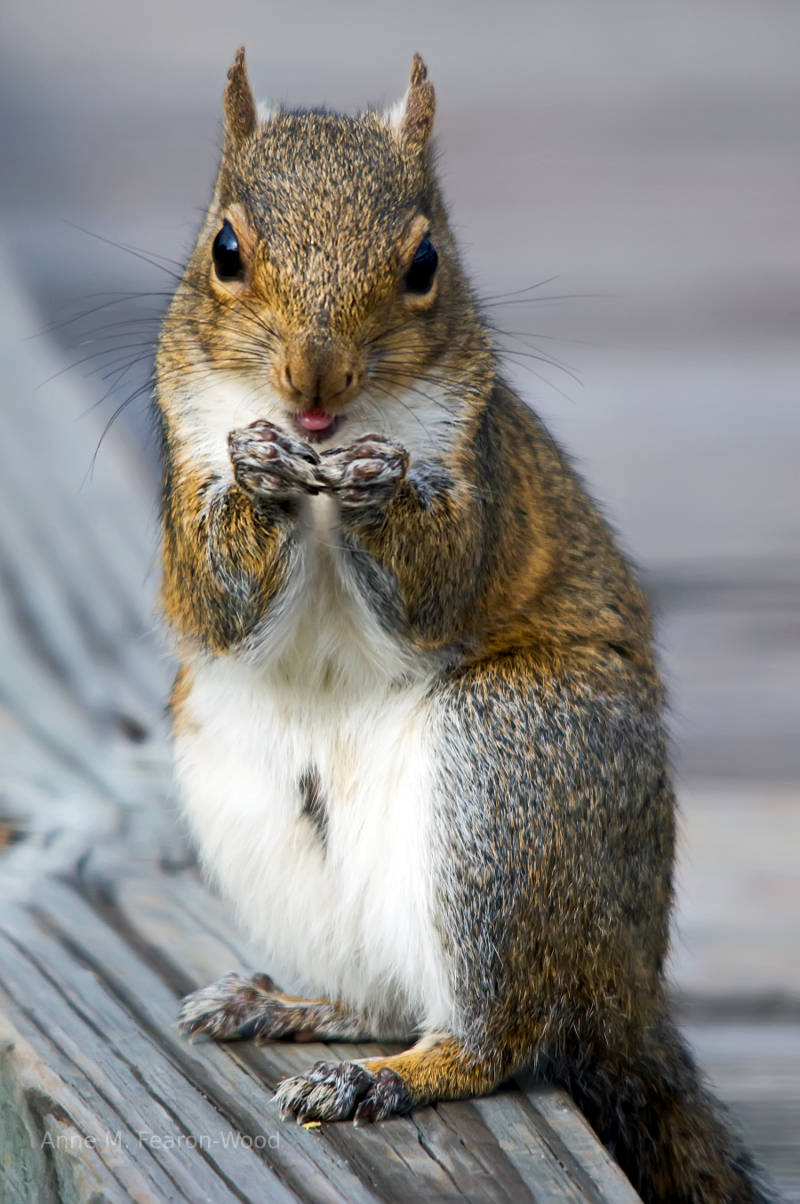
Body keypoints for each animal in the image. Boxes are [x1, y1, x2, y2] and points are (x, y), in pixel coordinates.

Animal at [154, 49, 771, 1204]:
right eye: (225, 250)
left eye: (425, 261)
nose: (313, 382)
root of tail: (628, 987)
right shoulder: (183, 468)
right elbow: (214, 595)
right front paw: (260, 474)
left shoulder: (478, 472)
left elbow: (440, 579)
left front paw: (377, 487)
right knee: (387, 999)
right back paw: (292, 1010)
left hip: (512, 776)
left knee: (499, 1039)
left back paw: (392, 1076)